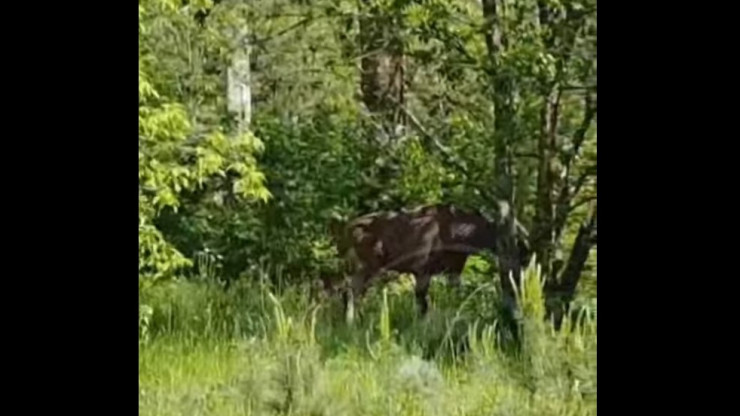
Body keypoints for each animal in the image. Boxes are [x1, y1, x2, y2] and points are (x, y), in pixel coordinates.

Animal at [330, 203, 532, 320]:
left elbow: (454, 298)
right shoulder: (422, 270)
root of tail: (344, 232)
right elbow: (422, 305)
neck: (458, 236)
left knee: (351, 293)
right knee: (351, 292)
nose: (525, 254)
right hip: (368, 266)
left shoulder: (453, 270)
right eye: (508, 235)